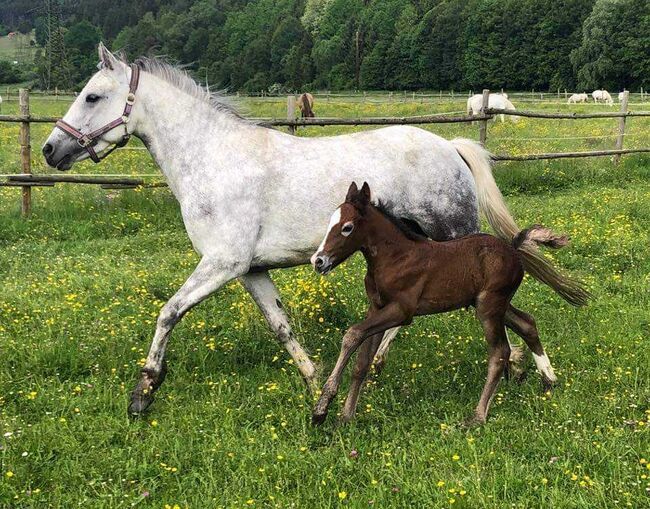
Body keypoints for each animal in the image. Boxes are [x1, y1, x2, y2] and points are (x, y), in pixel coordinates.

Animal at [310, 182, 584, 424]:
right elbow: (362, 362)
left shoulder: (401, 310)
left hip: (489, 306)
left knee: (499, 352)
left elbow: (352, 333)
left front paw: (322, 407)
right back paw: (549, 381)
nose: (318, 261)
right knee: (527, 324)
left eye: (347, 227)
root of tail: (513, 248)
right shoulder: (376, 308)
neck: (395, 258)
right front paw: (345, 417)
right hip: (494, 304)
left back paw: (478, 416)